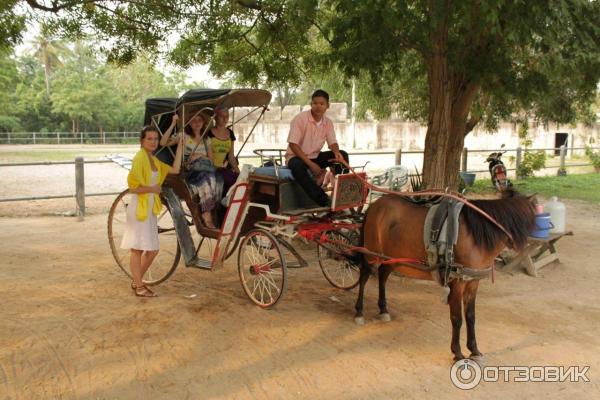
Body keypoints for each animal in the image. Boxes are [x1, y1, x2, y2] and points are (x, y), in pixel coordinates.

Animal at [354, 189, 536, 360]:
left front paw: (474, 349)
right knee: (364, 277)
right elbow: (457, 318)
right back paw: (359, 312)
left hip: (392, 258)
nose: (521, 246)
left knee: (383, 276)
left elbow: (471, 316)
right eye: (529, 220)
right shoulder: (456, 282)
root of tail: (374, 205)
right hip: (371, 254)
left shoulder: (472, 282)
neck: (474, 236)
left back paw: (383, 309)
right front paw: (457, 352)